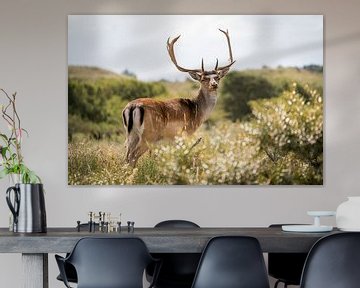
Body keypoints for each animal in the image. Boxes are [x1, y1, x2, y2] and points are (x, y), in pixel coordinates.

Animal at [123, 29, 236, 165]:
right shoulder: (185, 132)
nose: (214, 84)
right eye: (203, 78)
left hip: (131, 134)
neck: (197, 113)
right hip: (149, 135)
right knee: (133, 156)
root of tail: (132, 107)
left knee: (126, 157)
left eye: (217, 77)